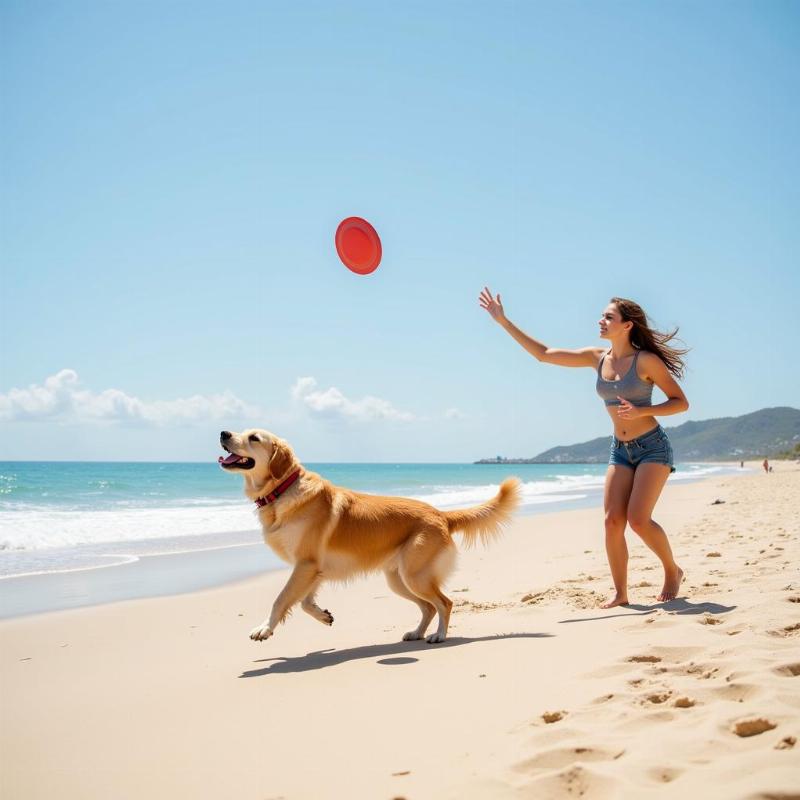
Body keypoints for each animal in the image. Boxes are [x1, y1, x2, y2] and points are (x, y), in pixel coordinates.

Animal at [217, 432, 520, 644]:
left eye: (254, 437)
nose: (223, 433)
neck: (283, 489)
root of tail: (441, 515)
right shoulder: (313, 568)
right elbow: (303, 602)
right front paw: (322, 615)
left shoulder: (305, 564)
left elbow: (281, 599)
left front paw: (264, 629)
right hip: (399, 580)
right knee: (428, 607)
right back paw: (417, 633)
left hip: (415, 576)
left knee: (444, 603)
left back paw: (439, 635)